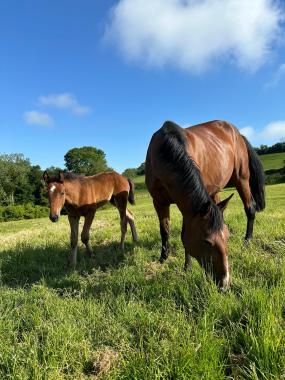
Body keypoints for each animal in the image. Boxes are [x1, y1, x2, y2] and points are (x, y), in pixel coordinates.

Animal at [145, 120, 266, 290]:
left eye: (227, 238)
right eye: (207, 242)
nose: (225, 284)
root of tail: (237, 134)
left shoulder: (188, 208)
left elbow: (183, 234)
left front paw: (187, 266)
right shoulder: (158, 201)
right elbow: (165, 230)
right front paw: (163, 258)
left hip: (241, 178)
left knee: (250, 208)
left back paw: (247, 241)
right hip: (215, 191)